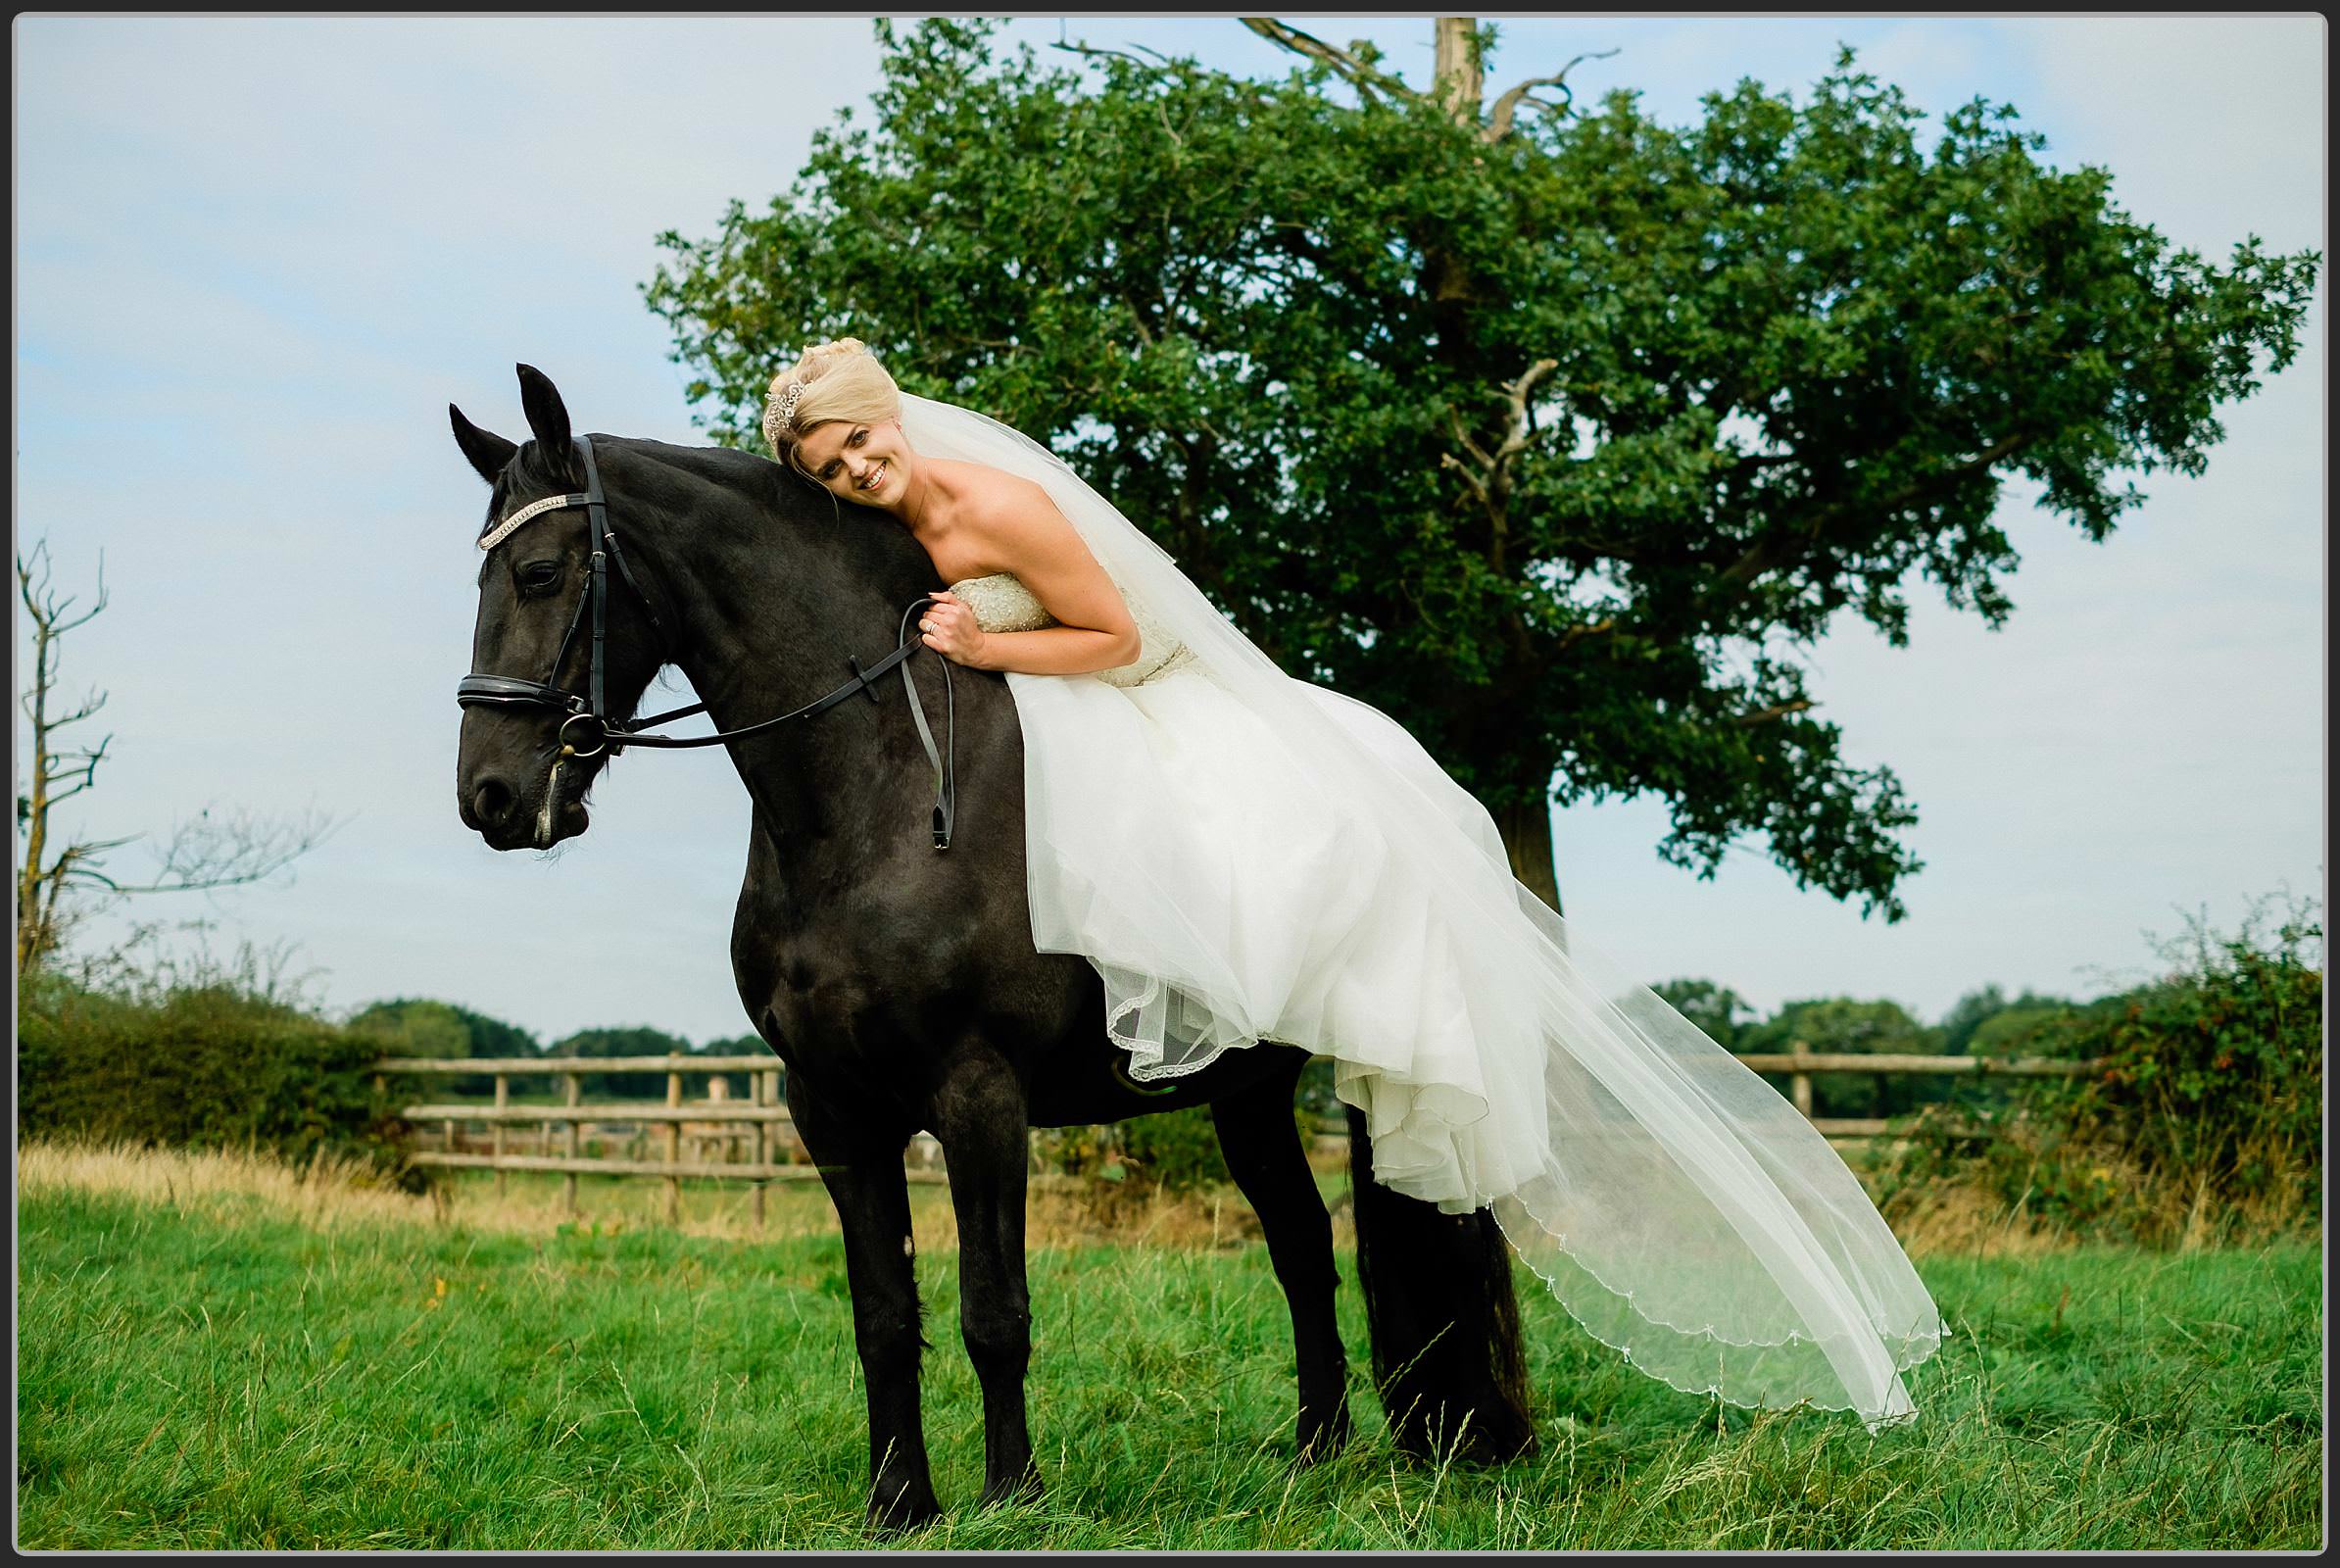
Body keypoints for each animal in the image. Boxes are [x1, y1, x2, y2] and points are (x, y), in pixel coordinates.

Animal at [451, 365, 1535, 1526]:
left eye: (541, 571)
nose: (491, 797)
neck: (879, 792)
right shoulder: (832, 1107)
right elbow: (883, 1316)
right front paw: (898, 1503)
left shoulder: (980, 1094)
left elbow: (993, 1312)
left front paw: (1012, 1493)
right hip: (1248, 1091)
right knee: (1301, 1248)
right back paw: (1313, 1459)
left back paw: (1457, 1440)